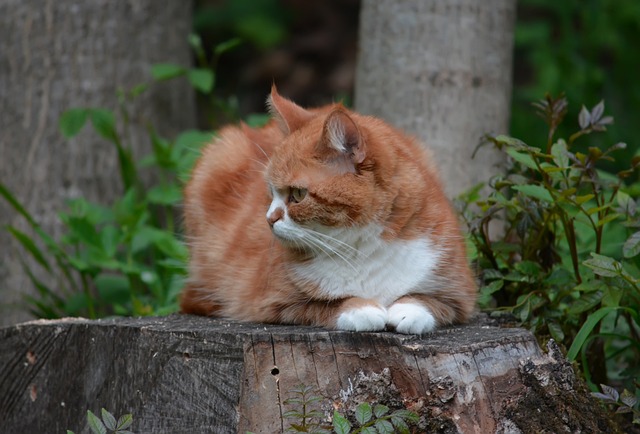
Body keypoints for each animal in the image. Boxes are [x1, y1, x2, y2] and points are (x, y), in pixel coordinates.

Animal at [179, 85, 476, 336]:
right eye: (270, 192)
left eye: (297, 194)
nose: (268, 219)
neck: (360, 248)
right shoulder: (274, 302)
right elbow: (327, 304)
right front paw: (362, 308)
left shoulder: (460, 295)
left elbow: (428, 301)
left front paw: (407, 310)